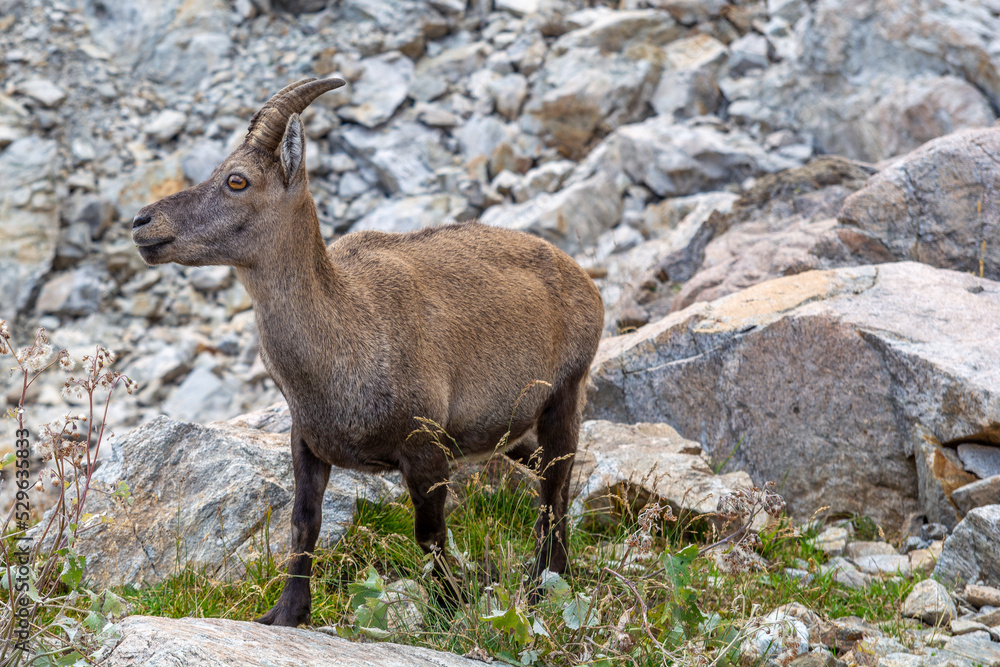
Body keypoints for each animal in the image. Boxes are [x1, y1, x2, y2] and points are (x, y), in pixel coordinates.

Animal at [131, 77, 604, 627]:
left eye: (237, 181)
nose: (142, 221)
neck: (344, 334)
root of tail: (582, 278)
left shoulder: (425, 448)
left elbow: (429, 532)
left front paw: (450, 606)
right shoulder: (307, 441)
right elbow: (304, 524)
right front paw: (285, 613)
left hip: (565, 393)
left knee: (555, 485)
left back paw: (544, 583)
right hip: (509, 429)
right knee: (553, 478)